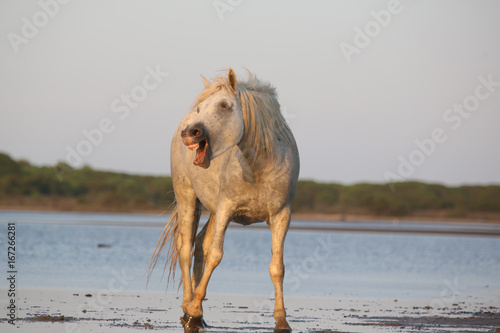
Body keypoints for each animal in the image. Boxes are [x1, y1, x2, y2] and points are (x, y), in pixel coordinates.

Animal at [151, 68, 300, 330]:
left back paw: (198, 313)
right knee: (185, 247)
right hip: (188, 198)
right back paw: (188, 308)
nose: (189, 134)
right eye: (200, 109)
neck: (258, 166)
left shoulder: (282, 215)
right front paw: (193, 311)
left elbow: (277, 267)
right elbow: (215, 255)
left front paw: (282, 320)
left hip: (210, 209)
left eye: (224, 105)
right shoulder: (226, 209)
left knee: (199, 244)